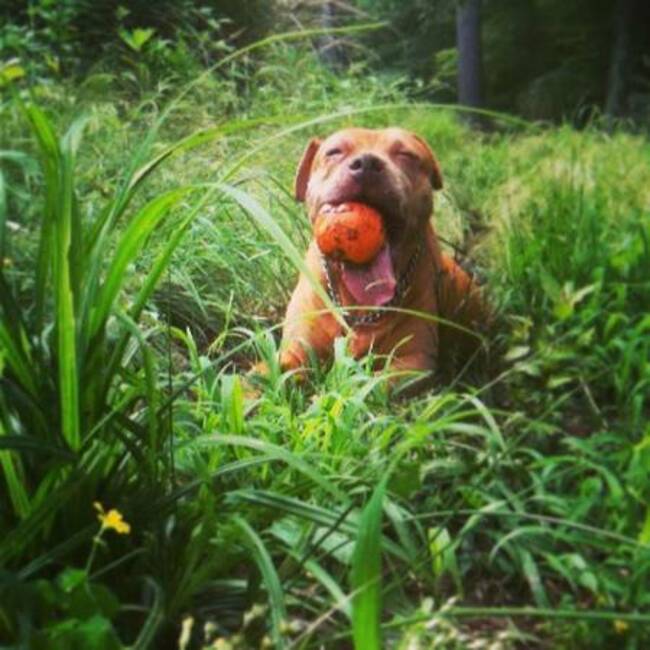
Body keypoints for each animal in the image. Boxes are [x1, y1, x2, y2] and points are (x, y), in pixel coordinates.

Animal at [270, 128, 484, 388]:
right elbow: (266, 373)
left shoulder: (413, 363)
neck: (359, 308)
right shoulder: (296, 349)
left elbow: (373, 385)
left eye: (406, 155)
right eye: (334, 152)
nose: (367, 163)